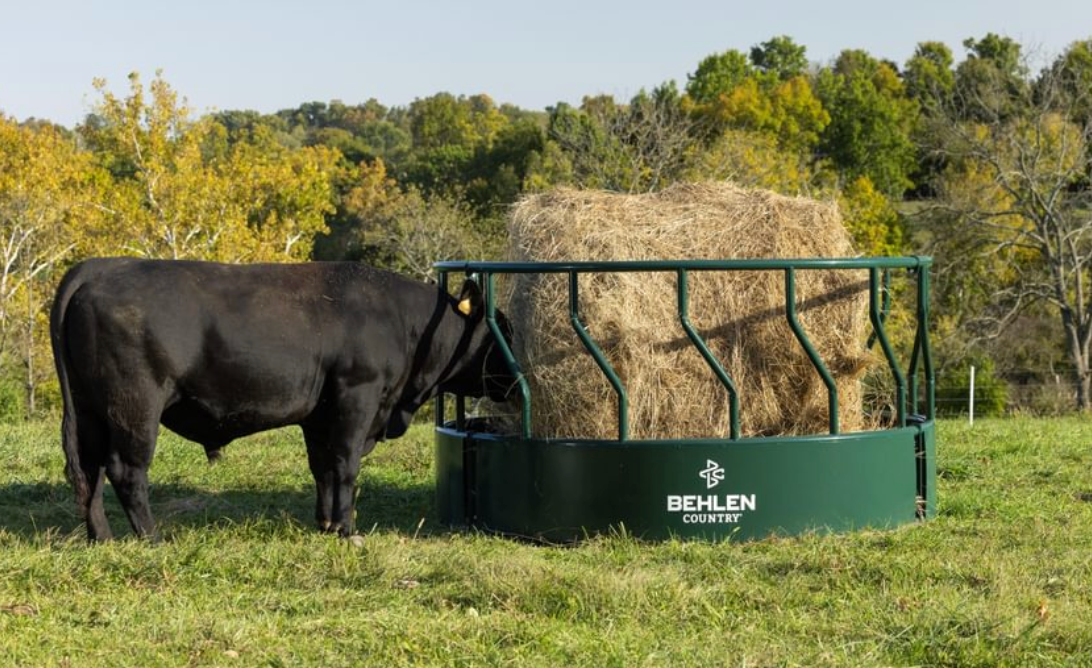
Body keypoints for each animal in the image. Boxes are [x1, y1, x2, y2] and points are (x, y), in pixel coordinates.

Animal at [49, 258, 515, 541]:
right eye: (503, 332)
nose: (516, 378)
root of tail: (101, 266)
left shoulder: (319, 414)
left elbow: (322, 467)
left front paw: (325, 522)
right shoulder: (357, 396)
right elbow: (345, 465)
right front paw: (347, 529)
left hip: (91, 409)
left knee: (89, 470)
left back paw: (103, 538)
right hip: (134, 406)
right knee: (125, 470)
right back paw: (152, 537)